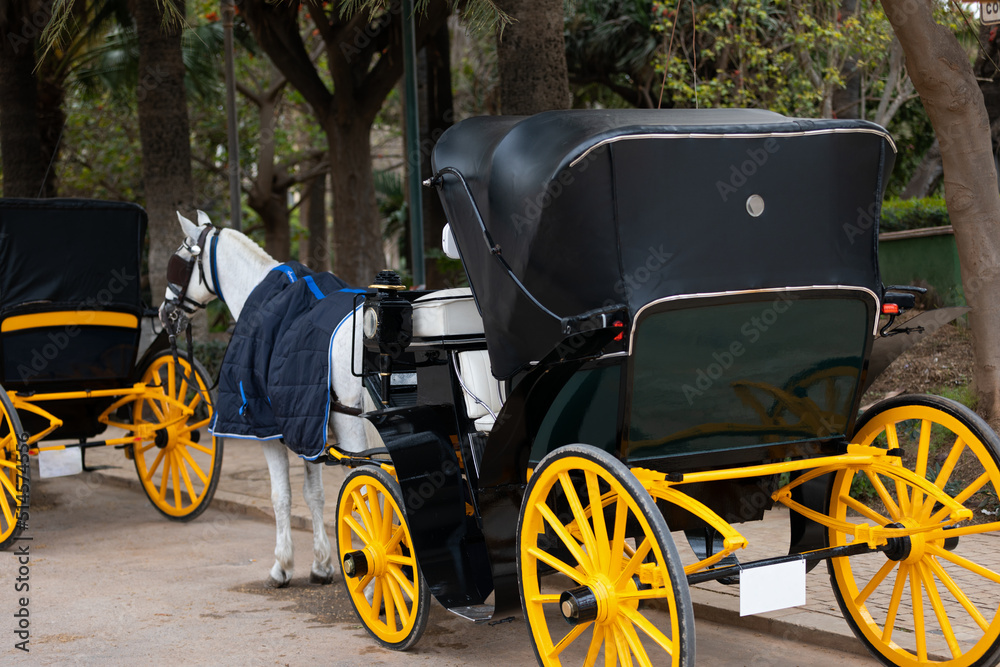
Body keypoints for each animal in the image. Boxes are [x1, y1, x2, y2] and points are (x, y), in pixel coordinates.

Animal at [162, 211, 370, 588]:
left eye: (179, 262)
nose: (163, 312)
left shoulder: (268, 430)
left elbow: (281, 496)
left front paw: (282, 566)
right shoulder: (306, 429)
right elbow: (313, 493)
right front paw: (321, 565)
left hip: (352, 428)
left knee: (369, 492)